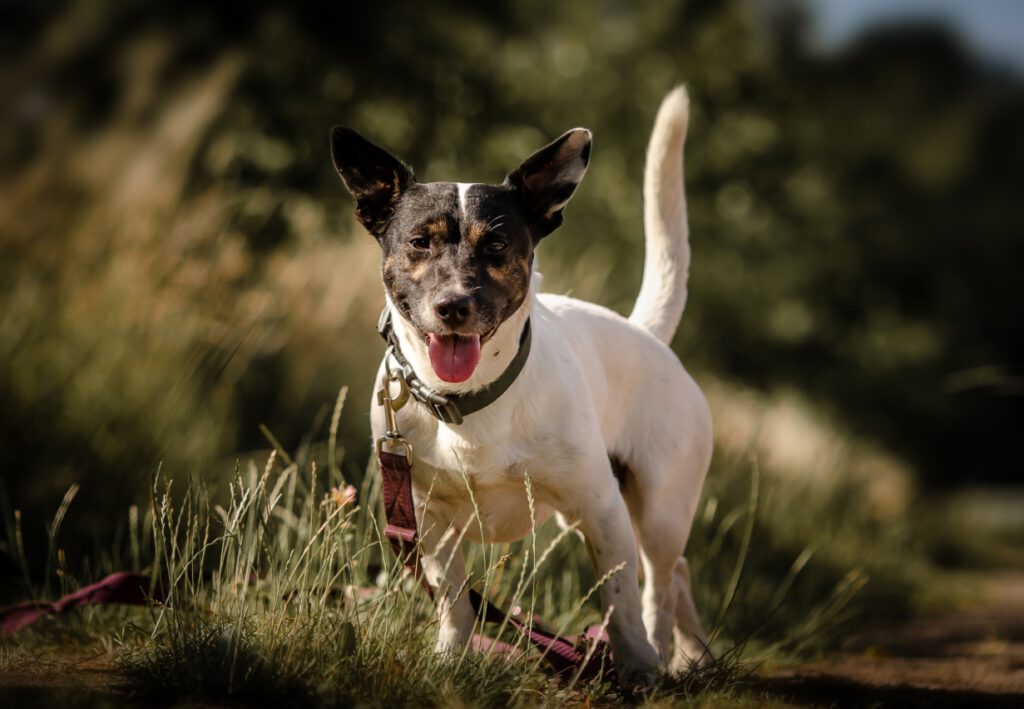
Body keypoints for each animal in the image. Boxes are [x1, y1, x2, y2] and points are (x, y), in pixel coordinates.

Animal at [329, 86, 712, 684]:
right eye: (418, 242)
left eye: (497, 246)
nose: (453, 306)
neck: (469, 402)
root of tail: (645, 332)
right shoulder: (428, 521)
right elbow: (456, 602)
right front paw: (450, 659)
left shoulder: (600, 508)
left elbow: (621, 604)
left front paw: (635, 668)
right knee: (679, 575)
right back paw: (695, 657)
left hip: (658, 508)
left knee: (658, 586)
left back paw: (661, 653)